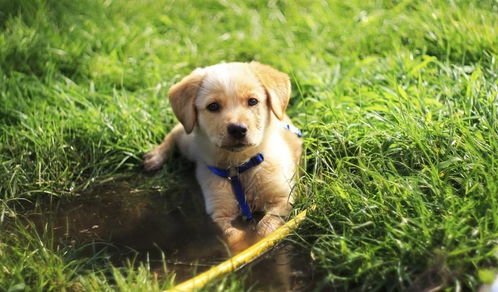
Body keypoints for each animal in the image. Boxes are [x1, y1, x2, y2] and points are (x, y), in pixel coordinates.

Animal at [142, 61, 302, 251]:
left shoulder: (283, 199)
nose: (238, 129)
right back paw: (156, 156)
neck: (240, 167)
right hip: (190, 141)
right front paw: (242, 249)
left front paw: (257, 243)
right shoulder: (219, 212)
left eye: (253, 101)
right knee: (176, 131)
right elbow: (233, 236)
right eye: (213, 106)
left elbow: (266, 228)